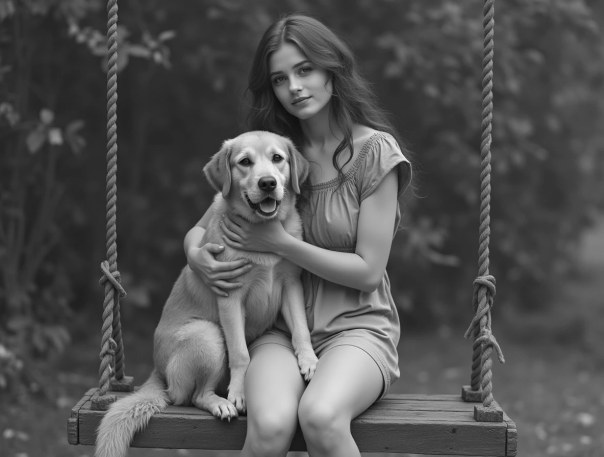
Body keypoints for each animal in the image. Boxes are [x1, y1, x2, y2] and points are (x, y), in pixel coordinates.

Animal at [94, 130, 318, 456]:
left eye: (278, 158)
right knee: (192, 396)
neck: (263, 233)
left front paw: (309, 360)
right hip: (207, 334)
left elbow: (300, 329)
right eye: (245, 162)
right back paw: (221, 403)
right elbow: (241, 354)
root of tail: (157, 371)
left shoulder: (290, 284)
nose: (267, 183)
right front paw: (239, 392)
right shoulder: (231, 297)